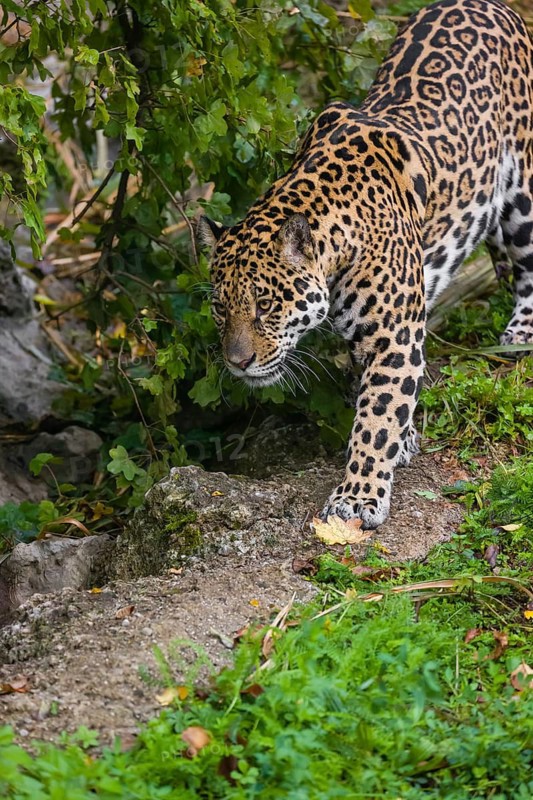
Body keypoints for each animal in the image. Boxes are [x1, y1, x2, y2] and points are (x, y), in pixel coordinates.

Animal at [198, 0, 533, 529]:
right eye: (219, 308)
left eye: (266, 305)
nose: (237, 363)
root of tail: (493, 5)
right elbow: (373, 396)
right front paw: (402, 439)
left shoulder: (392, 334)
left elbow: (376, 416)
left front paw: (357, 497)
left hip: (523, 192)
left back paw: (519, 336)